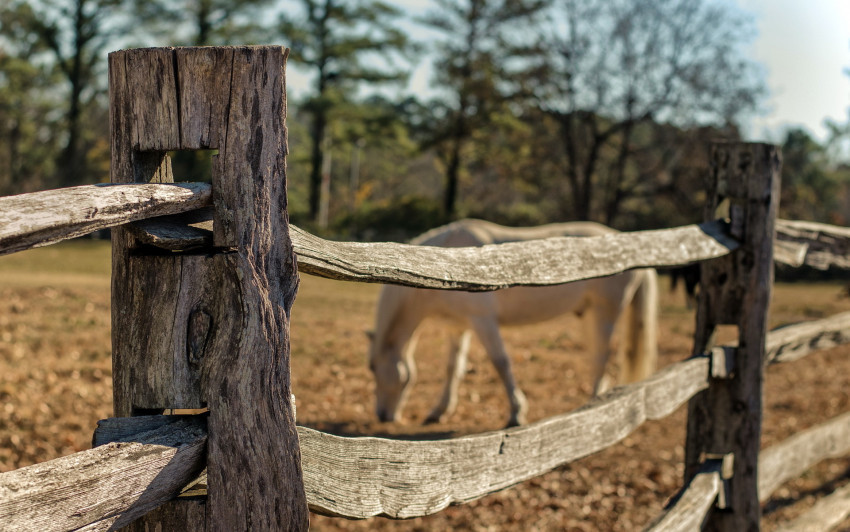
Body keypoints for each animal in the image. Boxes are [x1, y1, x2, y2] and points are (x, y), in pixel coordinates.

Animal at [368, 218, 660, 426]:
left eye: (373, 368)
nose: (382, 415)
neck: (443, 264)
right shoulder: (458, 327)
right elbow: (453, 368)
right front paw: (438, 412)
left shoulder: (483, 322)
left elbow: (501, 363)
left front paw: (517, 413)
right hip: (589, 315)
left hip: (604, 313)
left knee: (602, 354)